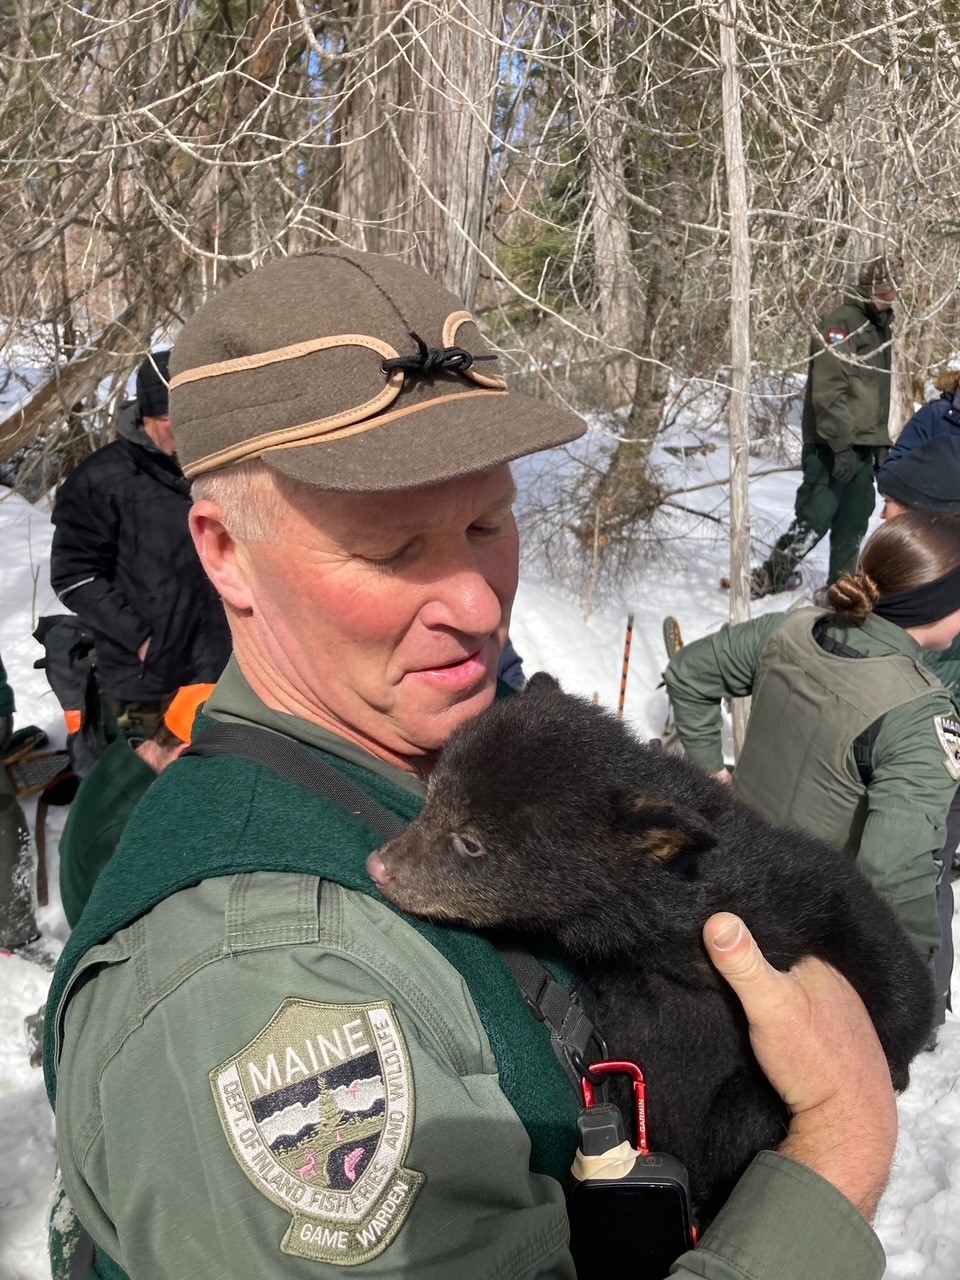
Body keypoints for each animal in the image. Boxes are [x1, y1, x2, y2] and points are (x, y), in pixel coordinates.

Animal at [367, 672, 935, 1217]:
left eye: (471, 841)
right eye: (431, 797)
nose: (379, 866)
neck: (655, 930)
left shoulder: (784, 888)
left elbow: (879, 946)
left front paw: (895, 1062)